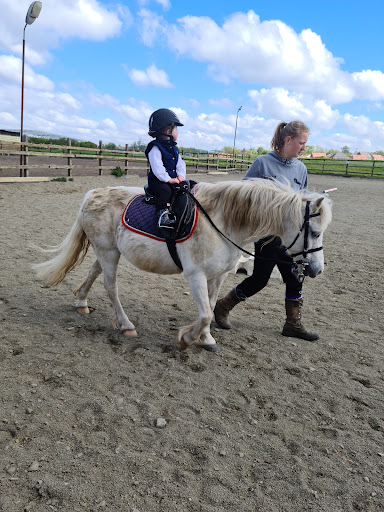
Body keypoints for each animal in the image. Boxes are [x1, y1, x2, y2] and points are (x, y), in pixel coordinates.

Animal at [33, 179, 332, 352]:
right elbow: (205, 314)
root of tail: (93, 193)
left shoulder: (218, 276)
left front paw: (206, 339)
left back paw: (81, 302)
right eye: (315, 231)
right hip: (108, 253)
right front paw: (188, 339)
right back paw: (126, 324)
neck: (222, 221)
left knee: (94, 273)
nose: (317, 270)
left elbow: (210, 306)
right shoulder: (195, 274)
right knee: (111, 287)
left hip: (108, 251)